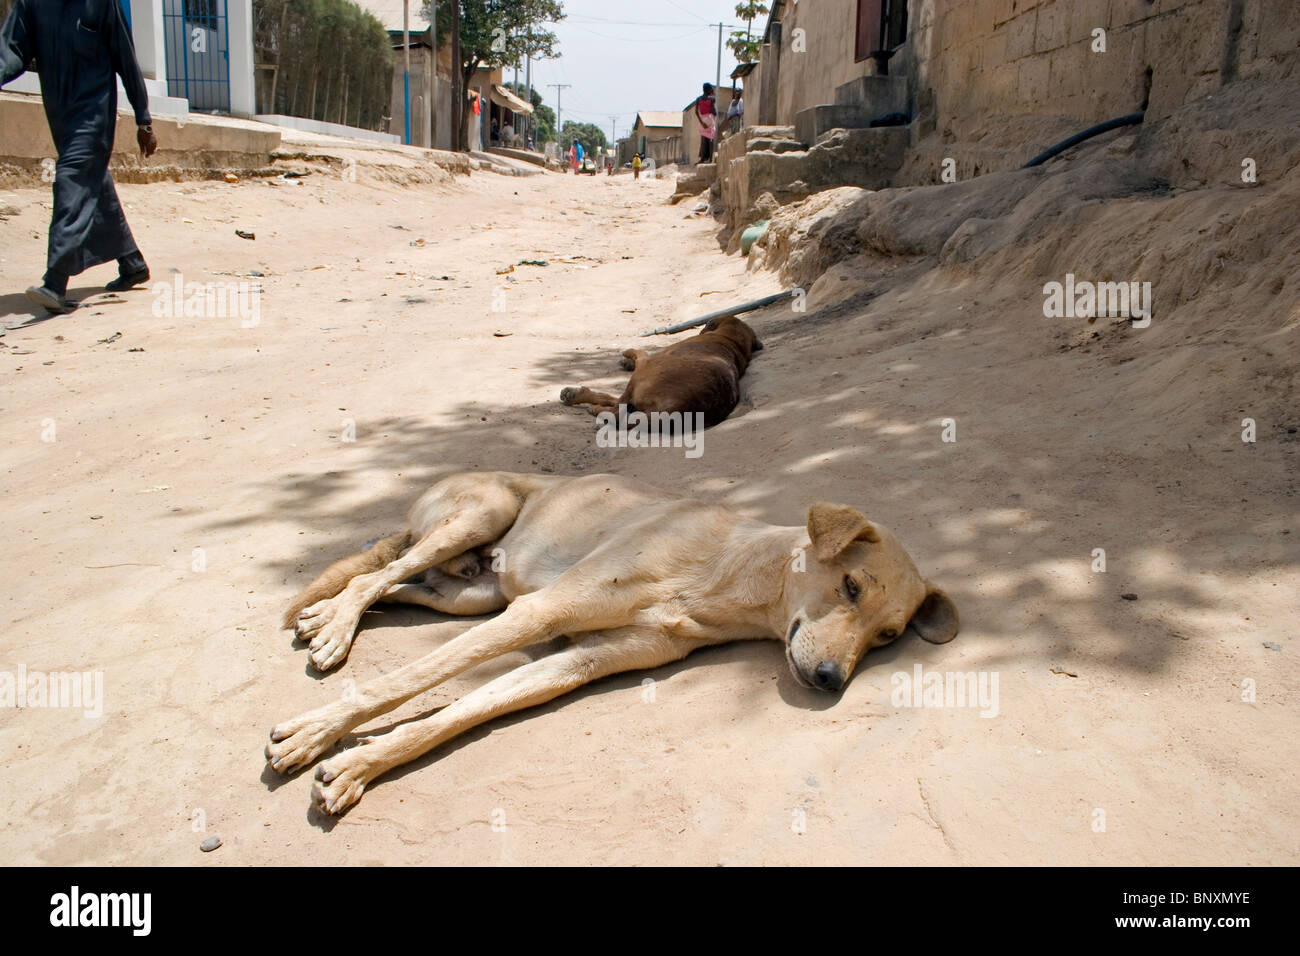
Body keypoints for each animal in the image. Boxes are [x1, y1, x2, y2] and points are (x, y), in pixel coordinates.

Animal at [266, 470, 956, 816]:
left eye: (888, 636)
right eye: (851, 586)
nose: (831, 679)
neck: (727, 576)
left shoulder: (577, 660)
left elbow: (461, 711)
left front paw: (362, 764)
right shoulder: (541, 612)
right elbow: (407, 680)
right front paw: (318, 732)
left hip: (469, 595)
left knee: (391, 582)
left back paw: (324, 616)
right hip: (478, 518)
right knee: (377, 573)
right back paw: (334, 627)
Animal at [559, 314, 759, 426]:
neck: (731, 341)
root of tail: (679, 410)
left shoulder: (647, 363)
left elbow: (640, 353)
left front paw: (628, 355)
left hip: (643, 376)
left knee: (617, 409)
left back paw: (585, 403)